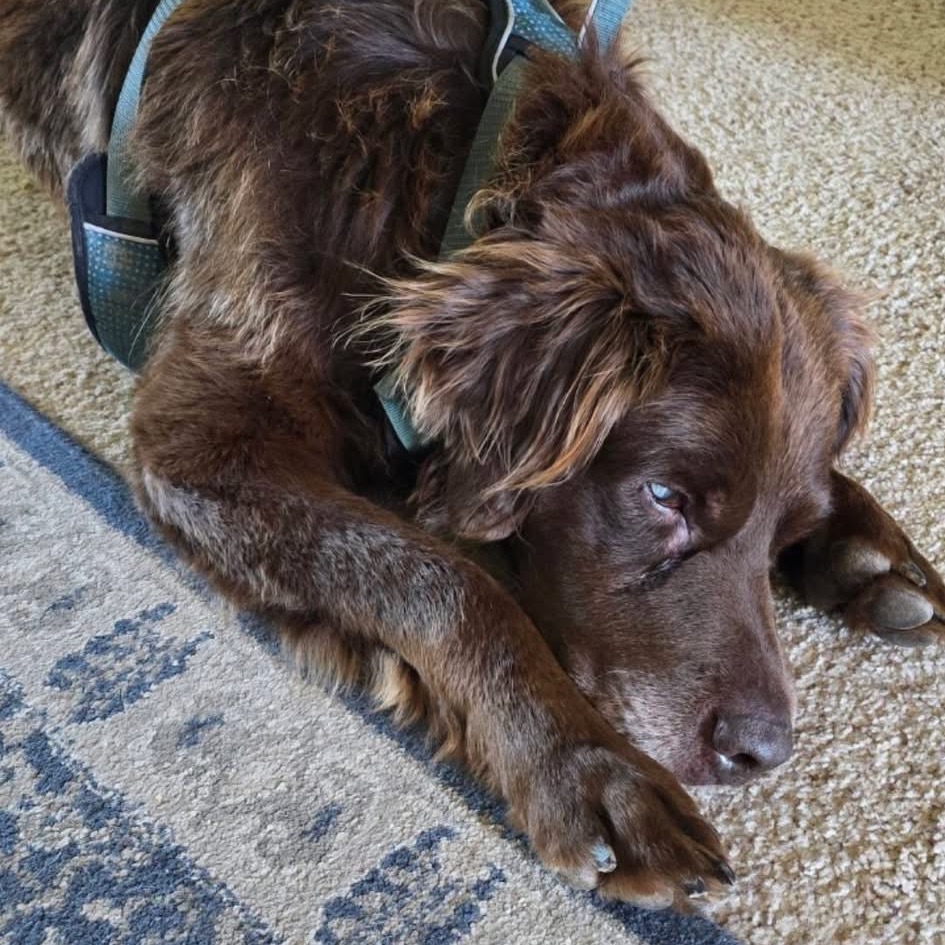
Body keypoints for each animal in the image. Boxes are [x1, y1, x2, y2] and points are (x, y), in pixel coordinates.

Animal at [1, 0, 944, 912]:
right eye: (663, 496)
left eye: (789, 526)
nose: (761, 751)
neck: (445, 164)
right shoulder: (200, 441)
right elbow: (444, 580)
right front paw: (585, 770)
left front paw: (868, 548)